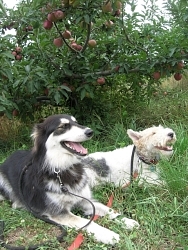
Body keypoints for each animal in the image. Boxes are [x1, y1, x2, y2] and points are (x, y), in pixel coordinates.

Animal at [0, 114, 138, 245]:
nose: (90, 132)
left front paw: (126, 221)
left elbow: (109, 210)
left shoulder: (85, 200)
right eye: (64, 126)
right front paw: (108, 234)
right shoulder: (59, 213)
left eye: (76, 122)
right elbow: (87, 222)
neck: (62, 169)